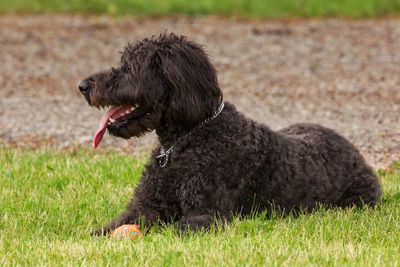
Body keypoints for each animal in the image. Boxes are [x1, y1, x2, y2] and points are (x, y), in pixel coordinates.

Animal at [79, 33, 382, 234]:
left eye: (130, 67)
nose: (83, 85)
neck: (185, 141)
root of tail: (349, 145)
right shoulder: (144, 206)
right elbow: (112, 225)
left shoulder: (207, 215)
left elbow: (176, 229)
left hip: (358, 199)